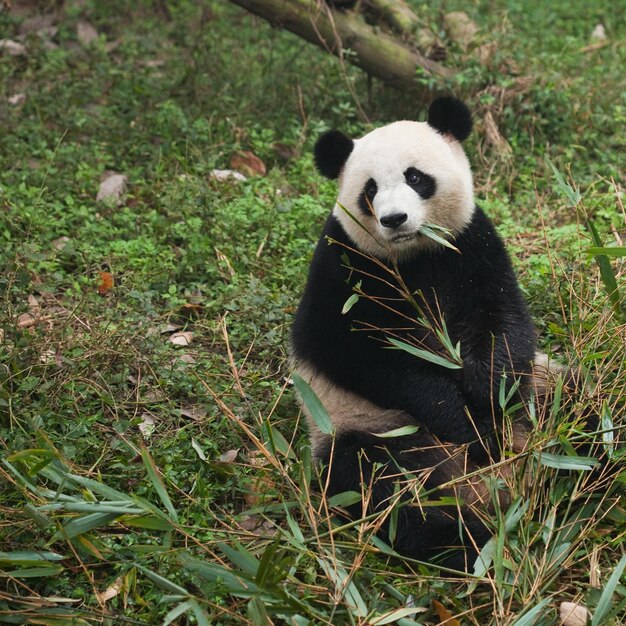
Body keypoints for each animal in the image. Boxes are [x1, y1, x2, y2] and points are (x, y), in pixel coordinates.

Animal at [290, 96, 548, 572]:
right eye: (370, 189)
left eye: (415, 177)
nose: (394, 219)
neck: (413, 255)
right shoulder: (344, 263)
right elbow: (351, 351)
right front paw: (464, 419)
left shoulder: (470, 245)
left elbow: (503, 321)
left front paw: (487, 394)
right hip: (367, 426)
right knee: (378, 485)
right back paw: (467, 539)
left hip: (544, 397)